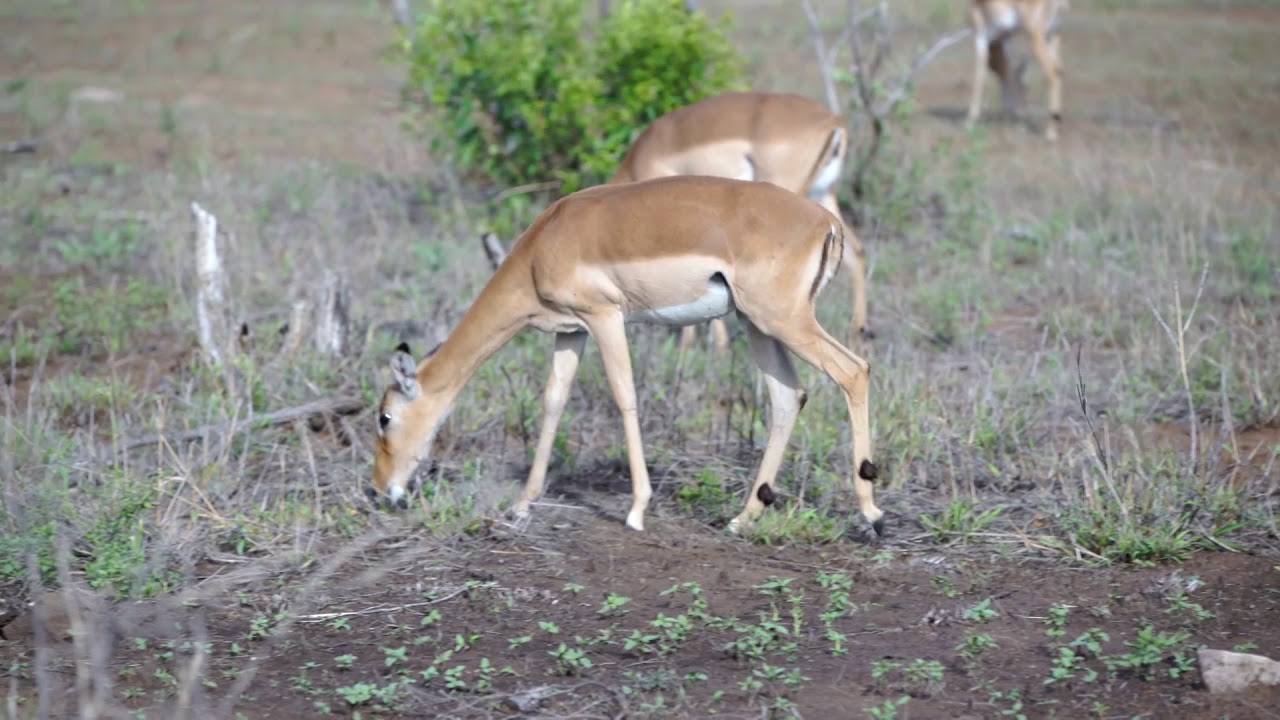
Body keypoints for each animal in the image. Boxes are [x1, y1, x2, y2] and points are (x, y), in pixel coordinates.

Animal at [371, 176, 885, 537]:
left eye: (384, 417)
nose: (381, 490)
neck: (544, 244)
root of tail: (825, 222)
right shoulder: (570, 331)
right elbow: (553, 401)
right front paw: (521, 505)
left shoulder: (605, 317)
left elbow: (624, 396)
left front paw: (637, 510)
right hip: (757, 324)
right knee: (788, 396)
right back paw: (744, 518)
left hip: (783, 321)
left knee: (853, 370)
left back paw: (871, 511)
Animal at [966, 0, 1066, 141]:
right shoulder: (1005, 38)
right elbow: (1008, 73)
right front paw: (1012, 116)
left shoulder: (981, 38)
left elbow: (979, 78)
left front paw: (970, 121)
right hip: (1052, 36)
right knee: (1059, 69)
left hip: (1037, 38)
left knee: (1053, 73)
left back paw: (1050, 132)